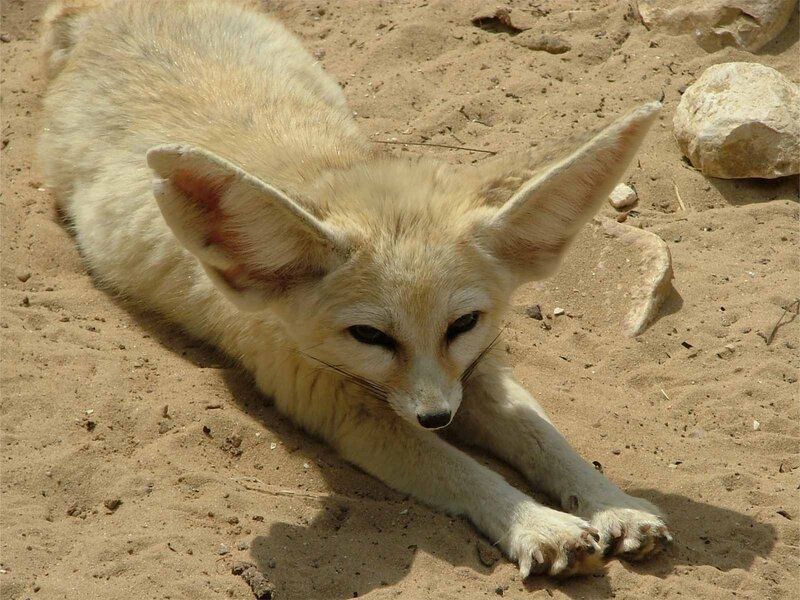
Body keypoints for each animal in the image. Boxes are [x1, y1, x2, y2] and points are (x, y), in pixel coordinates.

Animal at [38, 0, 671, 578]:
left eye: (463, 324)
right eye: (369, 336)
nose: (437, 417)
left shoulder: (474, 370)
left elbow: (545, 439)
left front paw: (614, 504)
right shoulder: (344, 408)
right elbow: (465, 470)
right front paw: (537, 523)